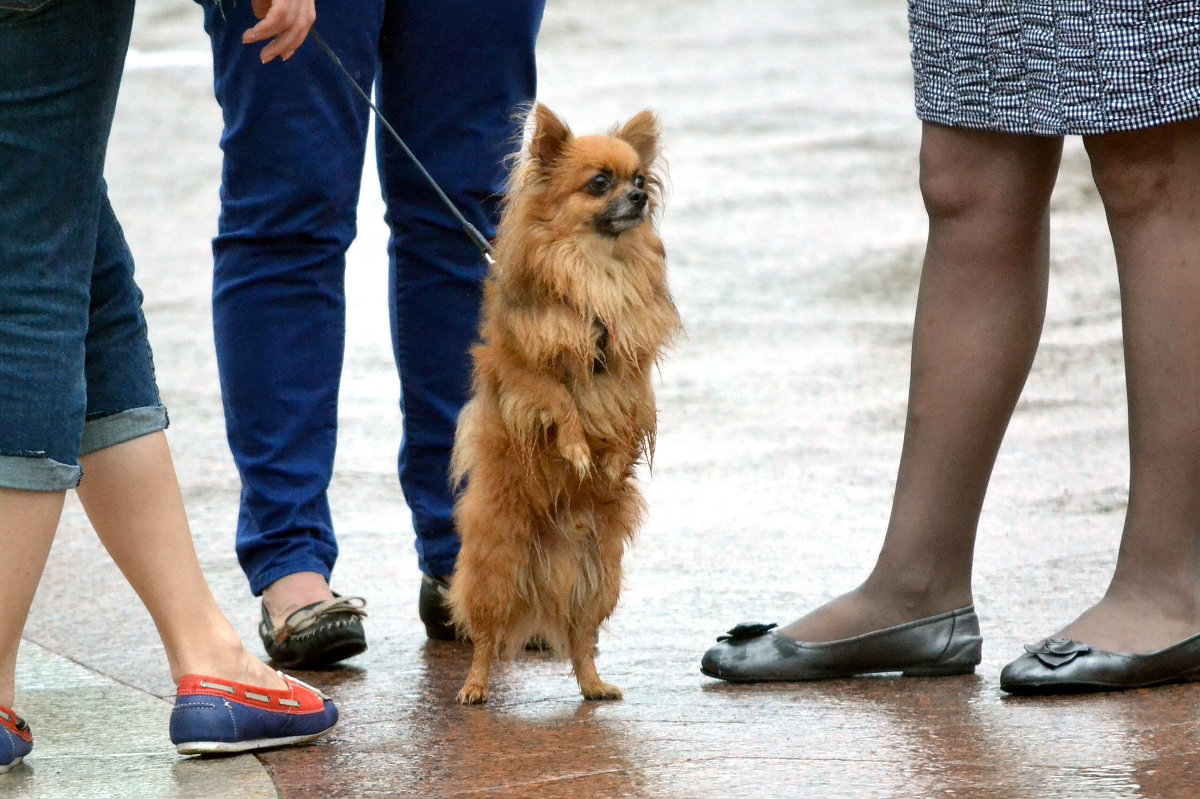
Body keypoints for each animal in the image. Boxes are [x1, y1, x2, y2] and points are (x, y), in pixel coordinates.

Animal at [446, 104, 681, 705]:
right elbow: (558, 399)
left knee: (580, 640)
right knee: (485, 638)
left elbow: (631, 410)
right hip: (498, 567)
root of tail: (547, 570)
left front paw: (614, 460)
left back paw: (594, 686)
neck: (597, 269)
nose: (638, 197)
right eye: (599, 183)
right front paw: (577, 449)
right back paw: (475, 687)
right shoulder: (522, 373)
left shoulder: (630, 367)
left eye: (638, 179)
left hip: (599, 579)